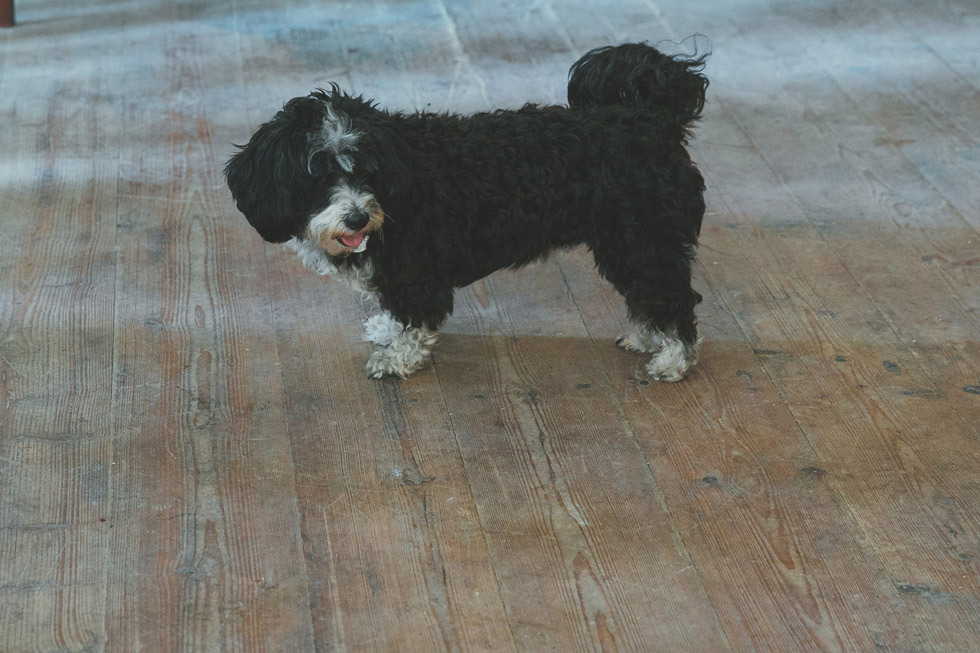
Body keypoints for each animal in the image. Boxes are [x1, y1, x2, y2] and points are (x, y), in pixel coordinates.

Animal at [225, 43, 708, 380]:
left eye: (366, 171)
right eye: (318, 177)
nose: (358, 219)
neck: (401, 177)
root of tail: (656, 120)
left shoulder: (417, 275)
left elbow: (414, 320)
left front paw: (396, 358)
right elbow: (395, 314)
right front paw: (385, 330)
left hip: (641, 241)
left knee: (675, 299)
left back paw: (673, 360)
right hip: (633, 244)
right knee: (652, 297)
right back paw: (647, 337)